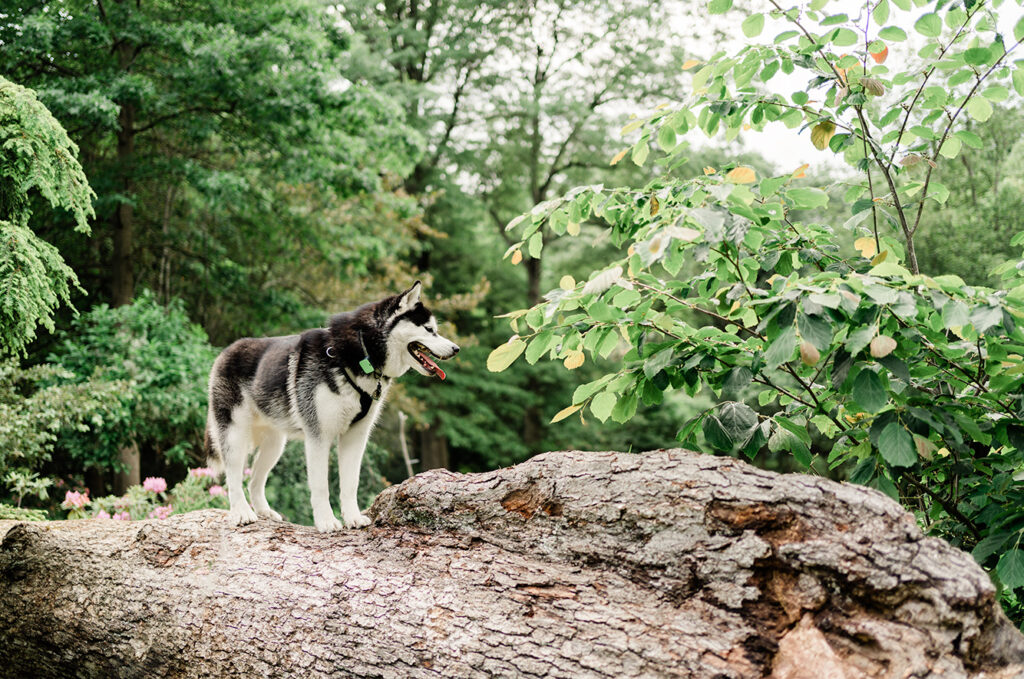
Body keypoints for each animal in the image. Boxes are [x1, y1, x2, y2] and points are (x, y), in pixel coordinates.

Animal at [205, 280, 458, 532]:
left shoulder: (356, 437)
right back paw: (241, 512)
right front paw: (326, 521)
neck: (362, 353)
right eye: (429, 330)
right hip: (235, 435)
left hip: (274, 445)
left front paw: (353, 517)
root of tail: (225, 352)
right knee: (233, 477)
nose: (456, 349)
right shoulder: (318, 436)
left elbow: (350, 483)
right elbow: (320, 486)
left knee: (254, 480)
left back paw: (264, 512)